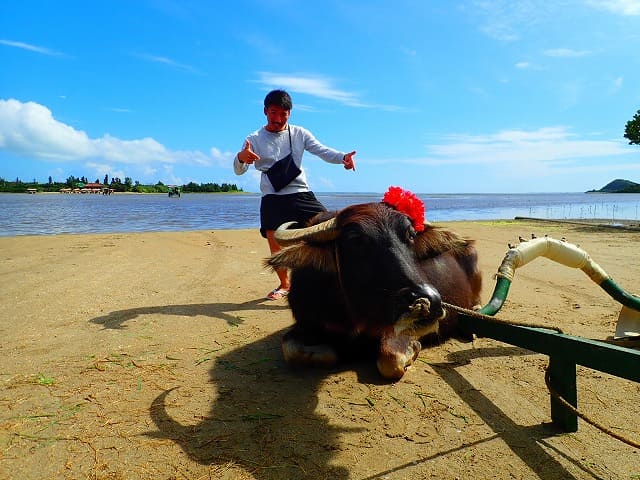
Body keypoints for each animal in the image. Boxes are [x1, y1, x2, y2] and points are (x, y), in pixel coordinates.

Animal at [268, 194, 482, 378]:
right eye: (355, 239)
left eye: (411, 234)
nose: (430, 300)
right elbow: (292, 351)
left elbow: (390, 361)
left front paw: (413, 348)